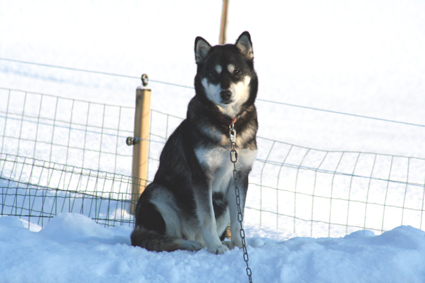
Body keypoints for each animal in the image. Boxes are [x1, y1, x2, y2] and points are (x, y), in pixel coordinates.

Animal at [131, 31, 256, 255]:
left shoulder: (240, 176)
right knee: (156, 239)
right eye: (214, 73)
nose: (226, 93)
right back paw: (193, 244)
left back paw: (220, 243)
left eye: (237, 72)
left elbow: (238, 220)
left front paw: (240, 247)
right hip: (158, 193)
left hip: (222, 203)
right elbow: (208, 218)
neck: (228, 125)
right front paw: (215, 246)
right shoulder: (202, 176)